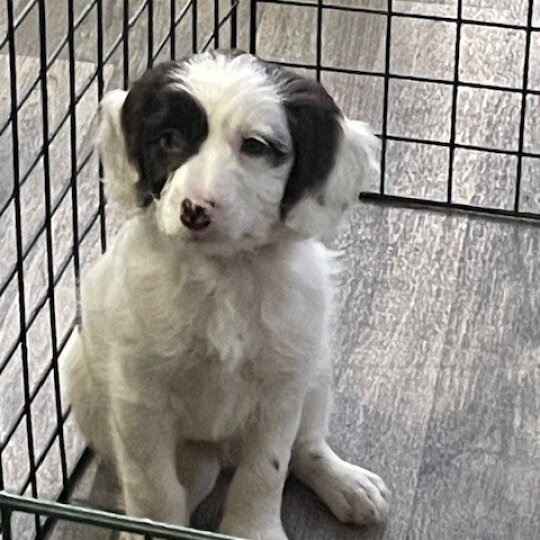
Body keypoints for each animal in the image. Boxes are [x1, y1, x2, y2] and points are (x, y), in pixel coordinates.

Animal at [62, 51, 388, 540]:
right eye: (169, 139)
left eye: (255, 146)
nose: (194, 211)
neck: (224, 274)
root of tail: (217, 452)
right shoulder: (140, 399)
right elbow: (152, 488)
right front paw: (155, 529)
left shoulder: (280, 390)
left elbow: (266, 471)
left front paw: (254, 529)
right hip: (84, 378)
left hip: (315, 370)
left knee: (306, 445)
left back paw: (345, 483)